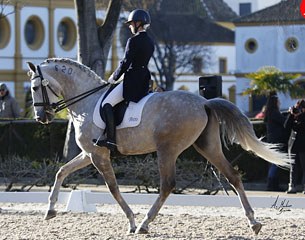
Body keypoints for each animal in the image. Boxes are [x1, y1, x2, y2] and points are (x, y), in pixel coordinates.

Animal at [27, 58, 290, 236]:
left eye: (34, 88)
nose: (41, 118)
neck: (87, 101)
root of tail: (204, 102)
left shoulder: (98, 155)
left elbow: (113, 188)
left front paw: (131, 221)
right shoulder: (88, 153)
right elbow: (61, 172)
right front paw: (50, 210)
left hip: (167, 150)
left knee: (167, 185)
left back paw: (144, 224)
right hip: (208, 146)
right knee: (233, 176)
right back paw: (254, 222)